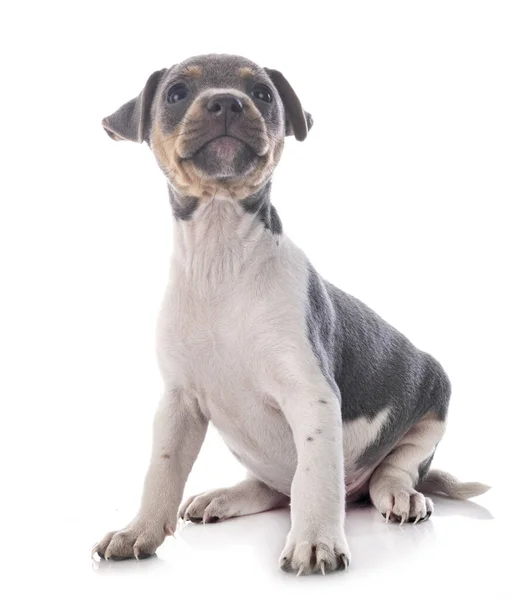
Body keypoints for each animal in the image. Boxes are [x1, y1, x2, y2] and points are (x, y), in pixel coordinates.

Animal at [91, 54, 488, 576]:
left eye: (262, 94)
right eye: (177, 93)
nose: (226, 102)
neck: (222, 261)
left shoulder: (311, 395)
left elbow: (315, 478)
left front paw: (316, 541)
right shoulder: (178, 404)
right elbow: (162, 469)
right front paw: (138, 531)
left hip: (433, 401)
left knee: (391, 470)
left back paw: (399, 495)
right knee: (274, 488)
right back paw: (224, 497)